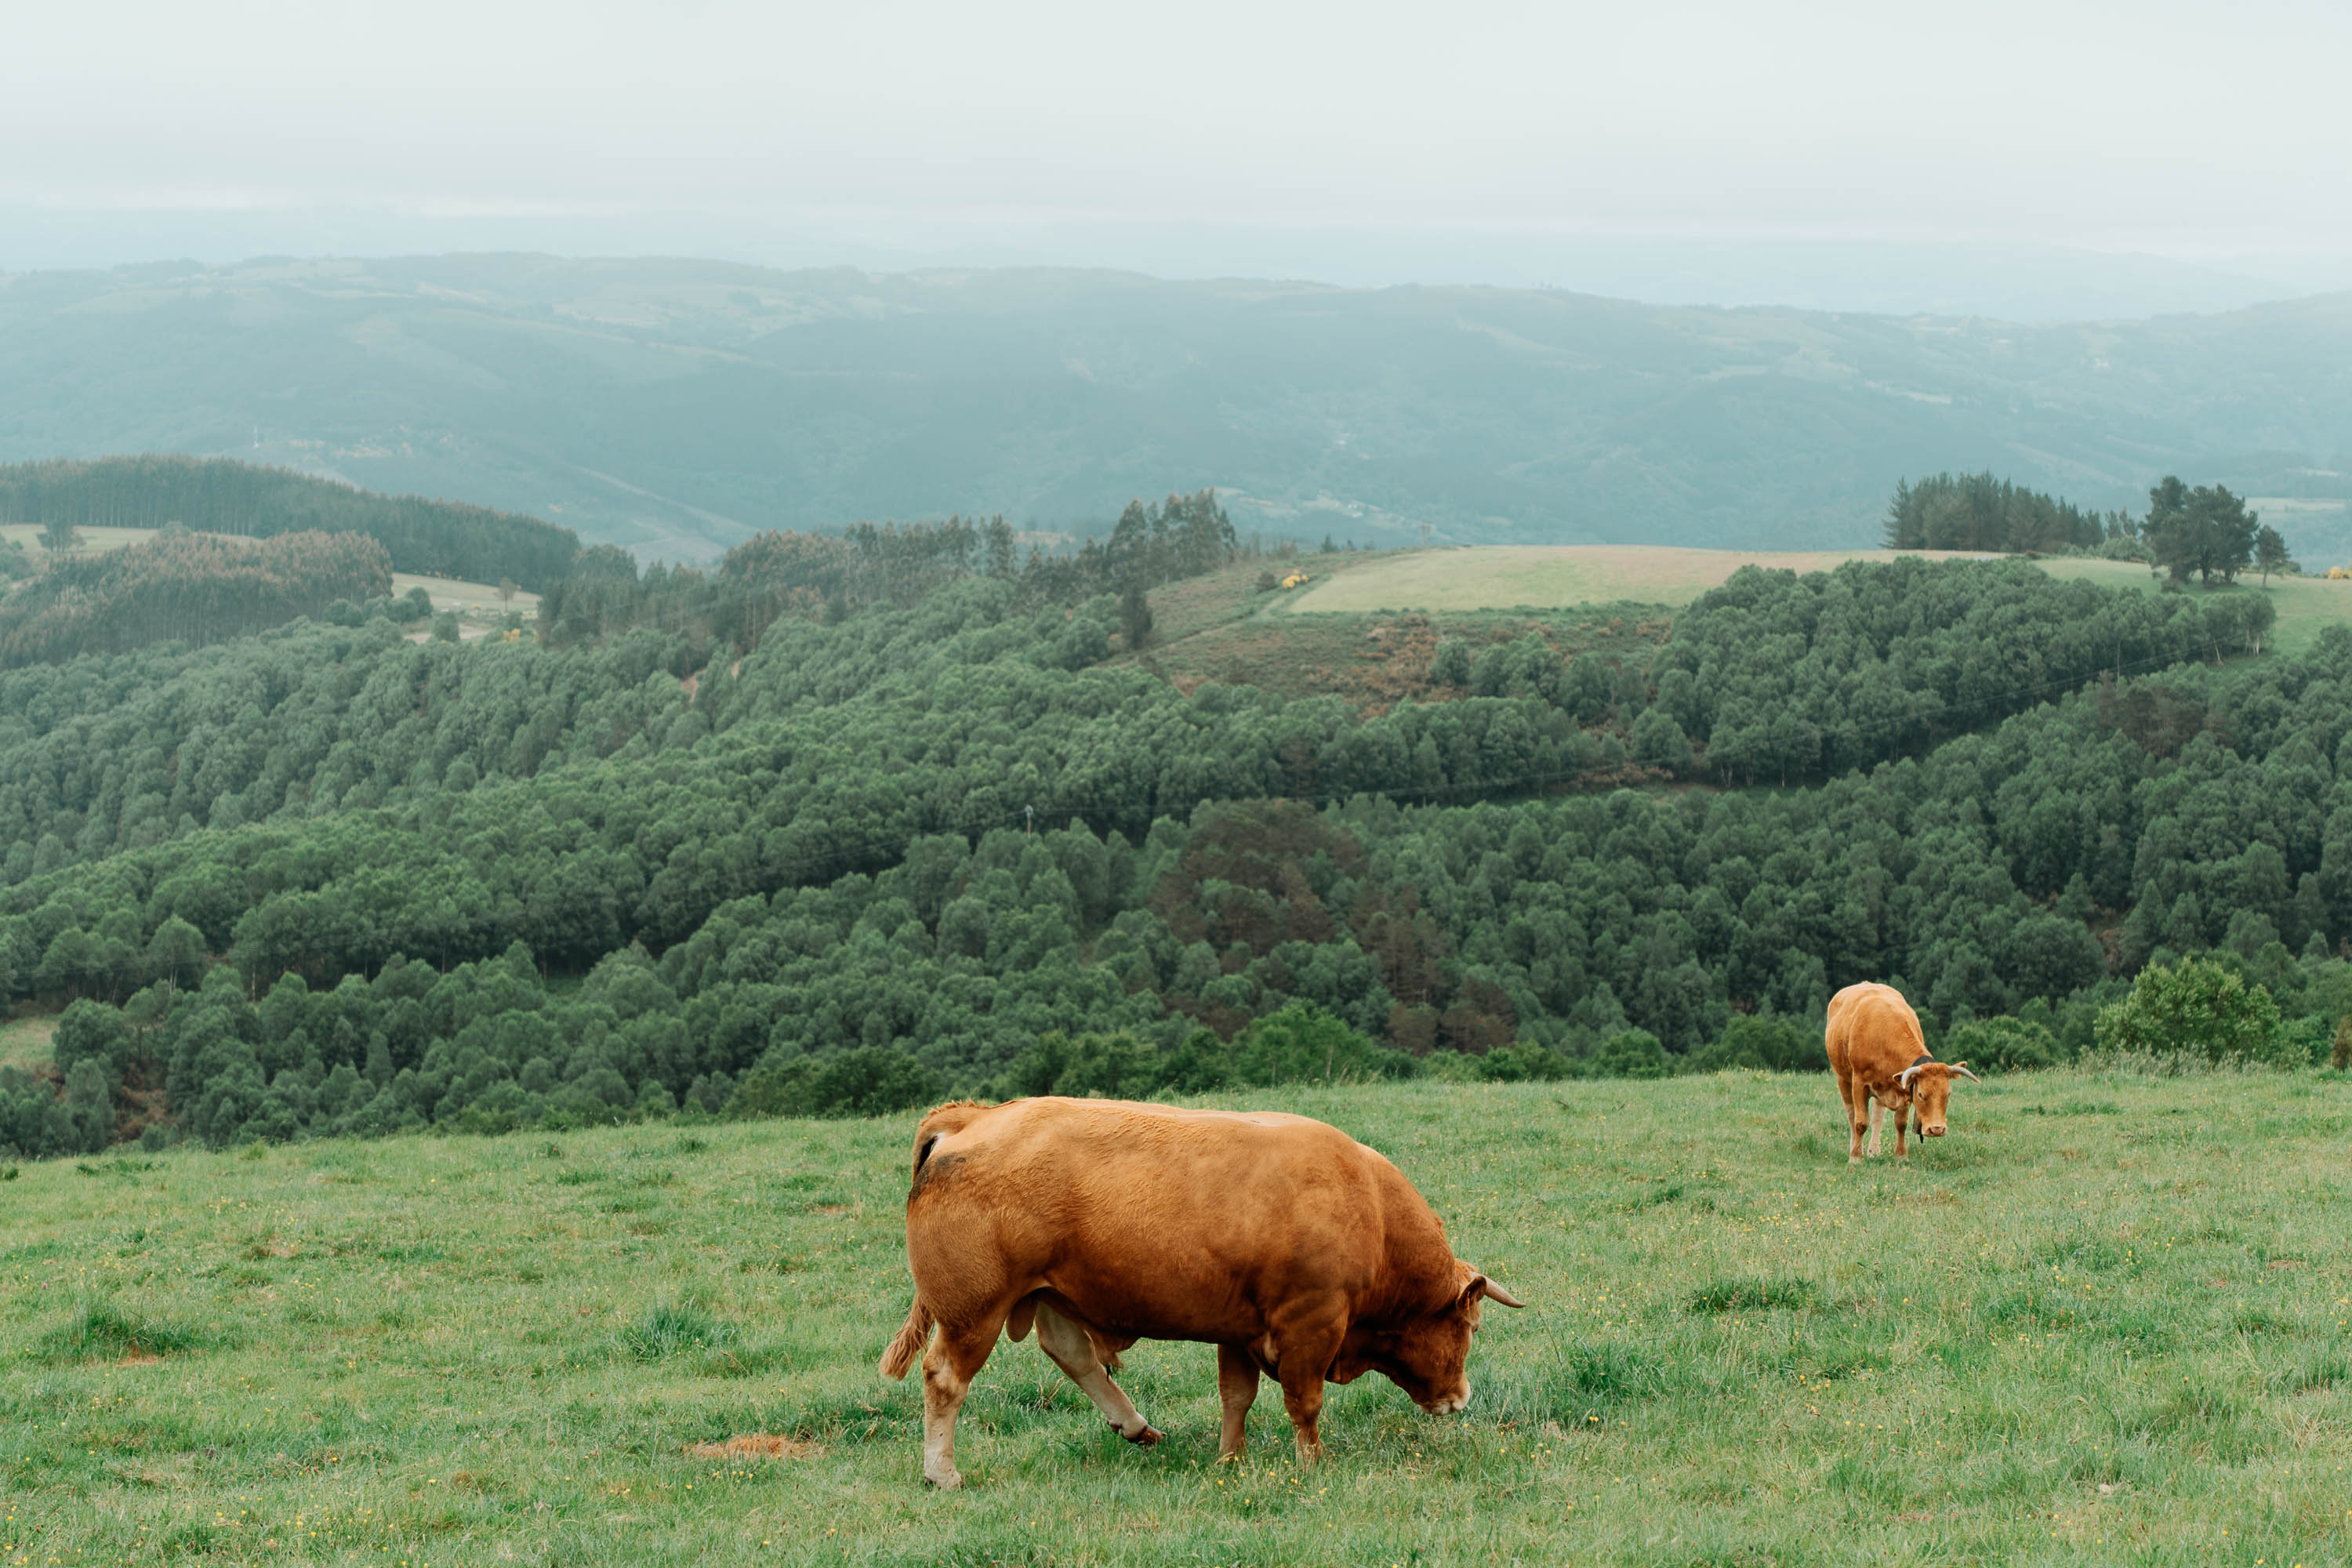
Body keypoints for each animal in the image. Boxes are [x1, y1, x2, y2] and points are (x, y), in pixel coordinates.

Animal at [876, 1096, 1524, 1489]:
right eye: (1470, 1326)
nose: (1461, 1398)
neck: (1370, 1207)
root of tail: (972, 1118)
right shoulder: (1311, 1324)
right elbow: (1304, 1402)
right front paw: (1312, 1462)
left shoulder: (1238, 1328)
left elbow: (1237, 1397)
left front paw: (1230, 1458)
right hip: (975, 1311)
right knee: (945, 1379)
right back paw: (942, 1472)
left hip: (1046, 1293)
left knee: (1073, 1353)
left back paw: (1134, 1424)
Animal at [1825, 982, 1980, 1163]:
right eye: (1920, 1094)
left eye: (1948, 1094)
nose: (1937, 1129)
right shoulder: (1859, 1083)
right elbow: (1860, 1122)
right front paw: (1855, 1157)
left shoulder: (1903, 1087)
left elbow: (1900, 1123)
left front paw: (1901, 1155)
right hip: (1843, 1079)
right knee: (1851, 1115)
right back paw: (1855, 1148)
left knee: (1878, 1116)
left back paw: (1873, 1150)